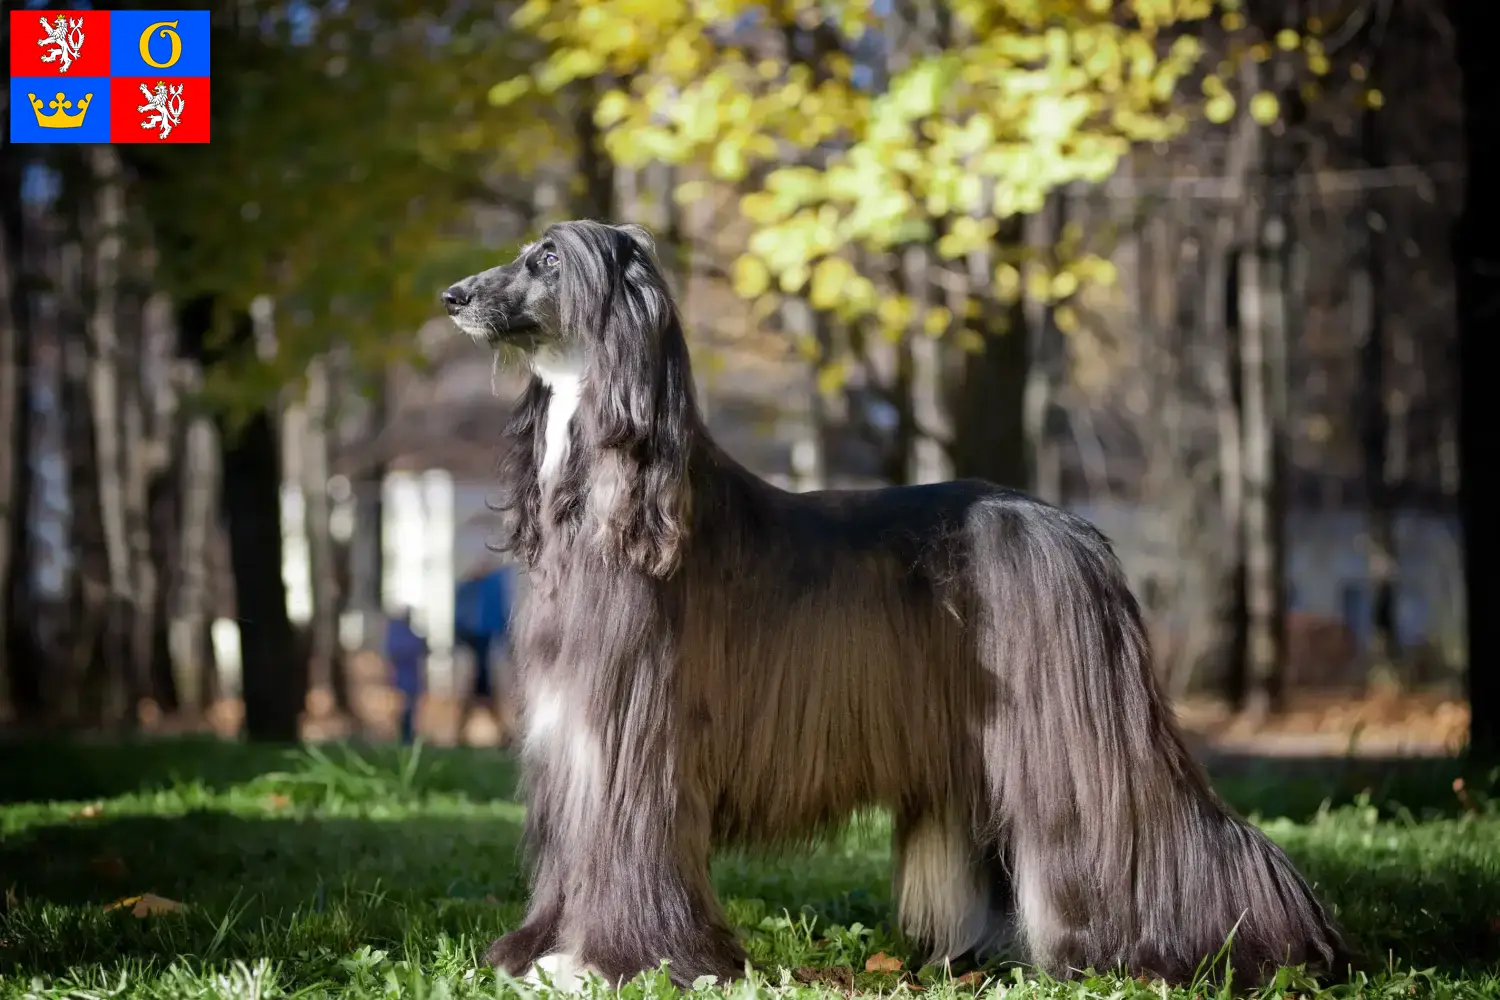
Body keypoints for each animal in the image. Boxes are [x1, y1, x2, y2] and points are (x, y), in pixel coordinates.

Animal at [438, 220, 1344, 995]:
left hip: (1076, 725)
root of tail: (1078, 529)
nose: (452, 295)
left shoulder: (633, 734)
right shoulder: (574, 738)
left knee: (1149, 821)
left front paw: (614, 960)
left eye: (548, 259)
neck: (606, 497)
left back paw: (1228, 950)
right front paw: (542, 953)